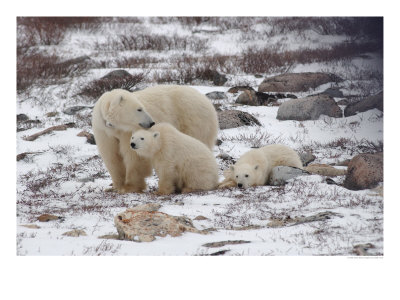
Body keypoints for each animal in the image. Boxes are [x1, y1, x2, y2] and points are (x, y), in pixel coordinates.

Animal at [91, 85, 219, 192]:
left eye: (142, 107)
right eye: (139, 109)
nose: (152, 123)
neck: (115, 127)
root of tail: (205, 99)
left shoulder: (128, 131)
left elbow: (134, 156)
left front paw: (130, 186)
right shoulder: (102, 130)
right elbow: (111, 156)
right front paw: (116, 186)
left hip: (193, 119)